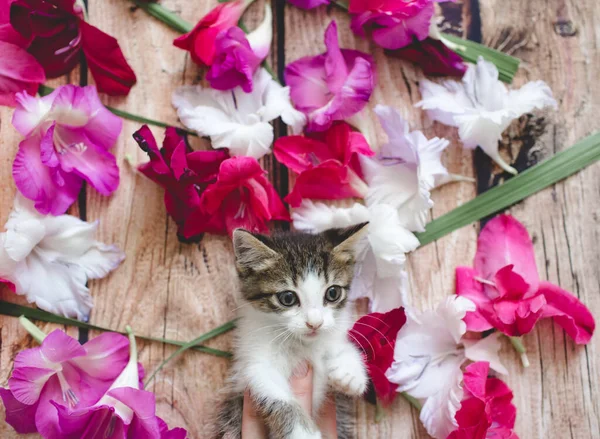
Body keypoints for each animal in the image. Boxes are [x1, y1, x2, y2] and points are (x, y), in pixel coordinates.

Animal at [213, 227, 368, 439]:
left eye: (333, 293)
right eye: (287, 298)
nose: (315, 323)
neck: (301, 344)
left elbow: (338, 345)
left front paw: (349, 370)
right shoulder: (253, 366)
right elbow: (277, 396)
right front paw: (302, 432)